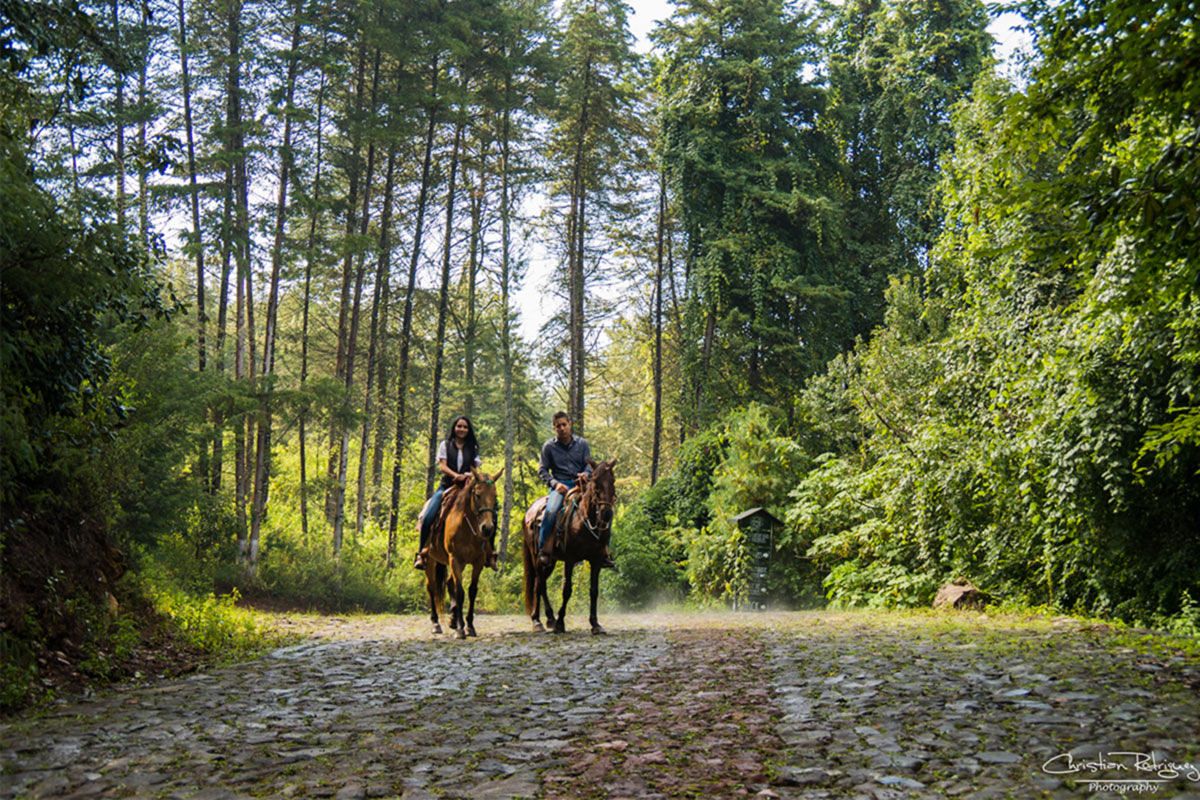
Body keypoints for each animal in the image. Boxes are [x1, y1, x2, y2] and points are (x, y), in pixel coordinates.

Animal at [422, 465, 501, 642]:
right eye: (477, 495)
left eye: (495, 496)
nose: (487, 528)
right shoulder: (455, 559)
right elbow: (460, 592)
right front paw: (460, 628)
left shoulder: (478, 561)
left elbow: (472, 591)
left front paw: (469, 625)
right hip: (431, 560)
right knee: (432, 587)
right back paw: (435, 623)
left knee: (449, 582)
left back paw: (452, 618)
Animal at [523, 460, 619, 633]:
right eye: (595, 483)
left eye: (612, 481)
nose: (606, 513)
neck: (584, 520)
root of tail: (530, 511)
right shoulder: (570, 559)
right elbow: (566, 590)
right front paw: (561, 623)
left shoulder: (596, 561)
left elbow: (594, 591)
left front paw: (595, 624)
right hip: (537, 559)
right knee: (539, 585)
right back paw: (538, 621)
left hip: (551, 561)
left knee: (540, 584)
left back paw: (549, 619)